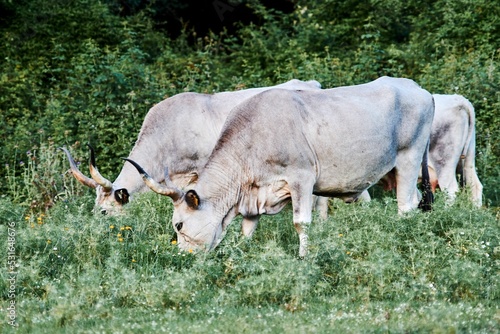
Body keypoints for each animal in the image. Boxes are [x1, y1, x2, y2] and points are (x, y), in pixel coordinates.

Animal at [128, 77, 434, 258]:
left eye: (179, 224)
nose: (181, 258)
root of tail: (418, 88)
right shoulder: (253, 192)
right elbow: (248, 227)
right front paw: (244, 252)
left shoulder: (301, 178)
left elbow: (301, 222)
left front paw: (303, 257)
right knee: (416, 198)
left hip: (409, 157)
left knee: (405, 206)